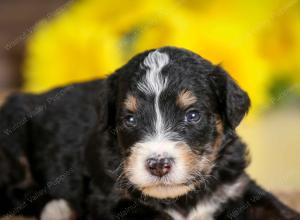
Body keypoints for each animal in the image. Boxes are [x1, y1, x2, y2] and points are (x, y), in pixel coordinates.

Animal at [0, 45, 300, 219]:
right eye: (130, 119)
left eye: (192, 115)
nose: (158, 165)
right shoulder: (110, 200)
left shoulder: (236, 188)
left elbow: (275, 209)